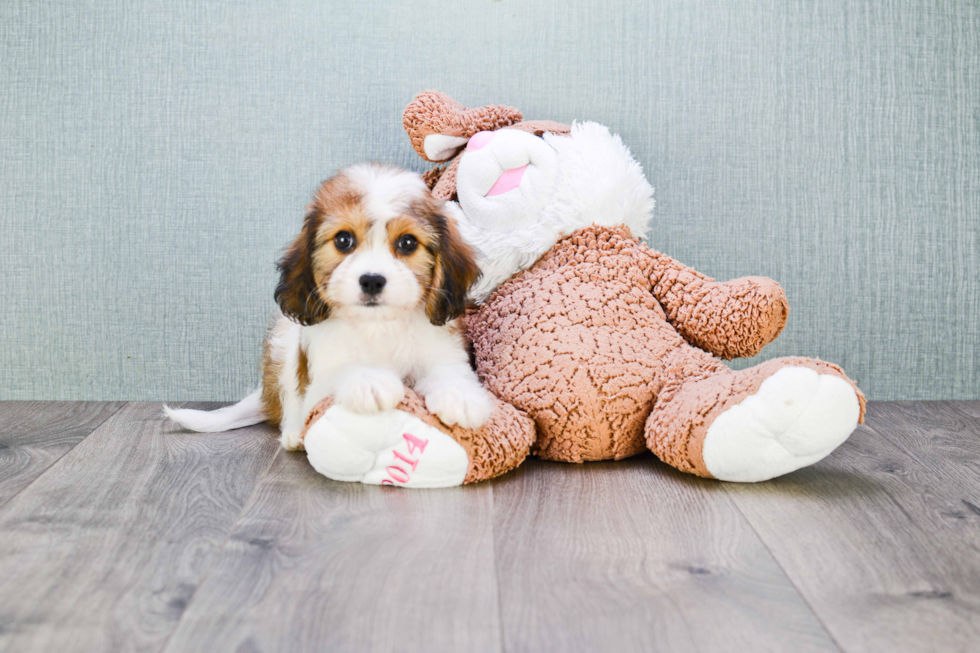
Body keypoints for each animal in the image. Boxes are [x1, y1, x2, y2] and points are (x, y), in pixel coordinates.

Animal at [166, 163, 498, 450]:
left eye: (407, 243)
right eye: (343, 240)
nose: (372, 280)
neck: (378, 326)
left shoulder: (443, 350)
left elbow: (448, 371)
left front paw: (460, 396)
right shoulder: (316, 384)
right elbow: (340, 372)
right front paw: (369, 380)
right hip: (283, 341)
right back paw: (293, 435)